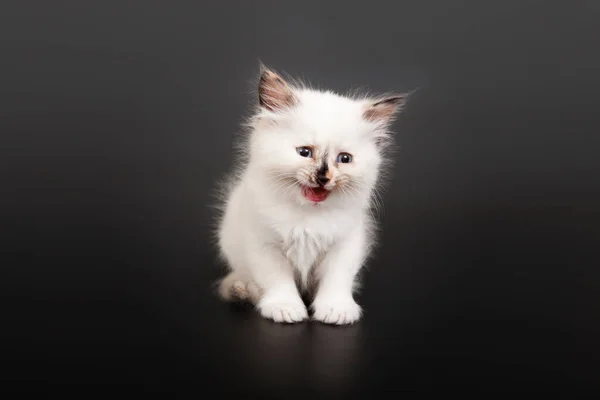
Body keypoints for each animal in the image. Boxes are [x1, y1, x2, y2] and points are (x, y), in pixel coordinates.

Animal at [213, 64, 406, 324]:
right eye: (304, 152)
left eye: (344, 159)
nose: (323, 177)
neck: (308, 217)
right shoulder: (264, 243)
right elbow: (277, 279)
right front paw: (285, 308)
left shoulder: (345, 244)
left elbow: (336, 280)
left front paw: (336, 310)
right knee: (245, 280)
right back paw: (242, 290)